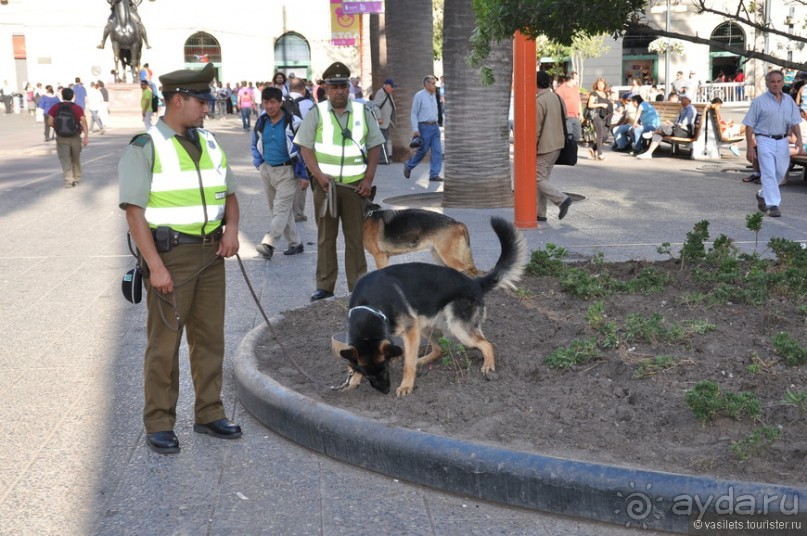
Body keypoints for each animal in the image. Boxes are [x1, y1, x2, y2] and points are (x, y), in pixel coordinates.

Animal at [338, 216, 528, 396]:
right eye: (368, 374)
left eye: (385, 369)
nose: (385, 391)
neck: (369, 306)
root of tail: (476, 283)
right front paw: (353, 381)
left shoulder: (410, 332)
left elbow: (408, 365)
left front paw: (406, 386)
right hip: (424, 325)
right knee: (440, 349)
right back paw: (421, 360)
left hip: (457, 327)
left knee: (487, 344)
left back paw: (488, 365)